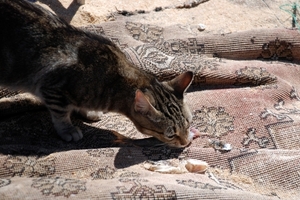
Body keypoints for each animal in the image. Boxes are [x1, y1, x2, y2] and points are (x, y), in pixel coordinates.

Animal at [0, 0, 195, 147]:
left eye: (189, 125)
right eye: (171, 135)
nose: (186, 142)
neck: (113, 79)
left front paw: (87, 111)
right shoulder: (52, 88)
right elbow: (61, 114)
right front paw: (68, 129)